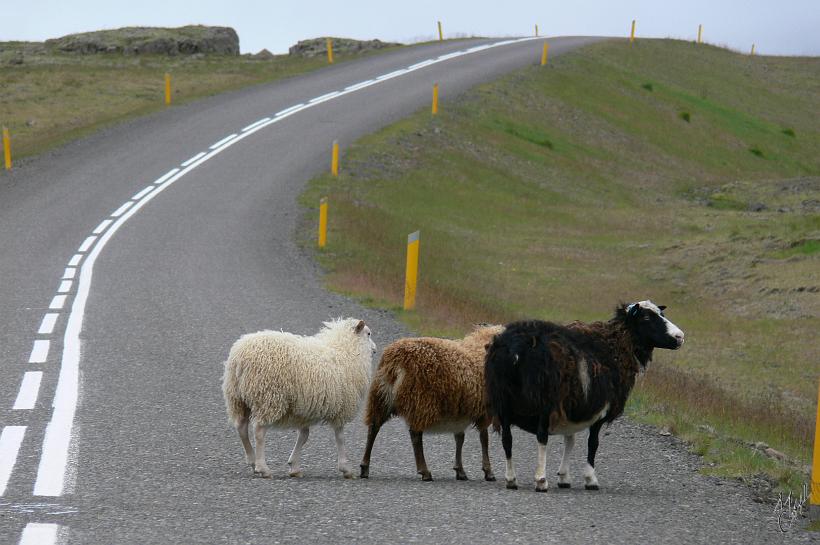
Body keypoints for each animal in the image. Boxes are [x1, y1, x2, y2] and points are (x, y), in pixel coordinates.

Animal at [360, 324, 502, 480]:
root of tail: (397, 360)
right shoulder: (484, 410)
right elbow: (484, 439)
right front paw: (488, 471)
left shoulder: (460, 409)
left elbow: (460, 438)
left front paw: (460, 470)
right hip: (420, 399)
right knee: (415, 435)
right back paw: (425, 471)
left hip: (381, 397)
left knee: (373, 427)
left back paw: (364, 467)